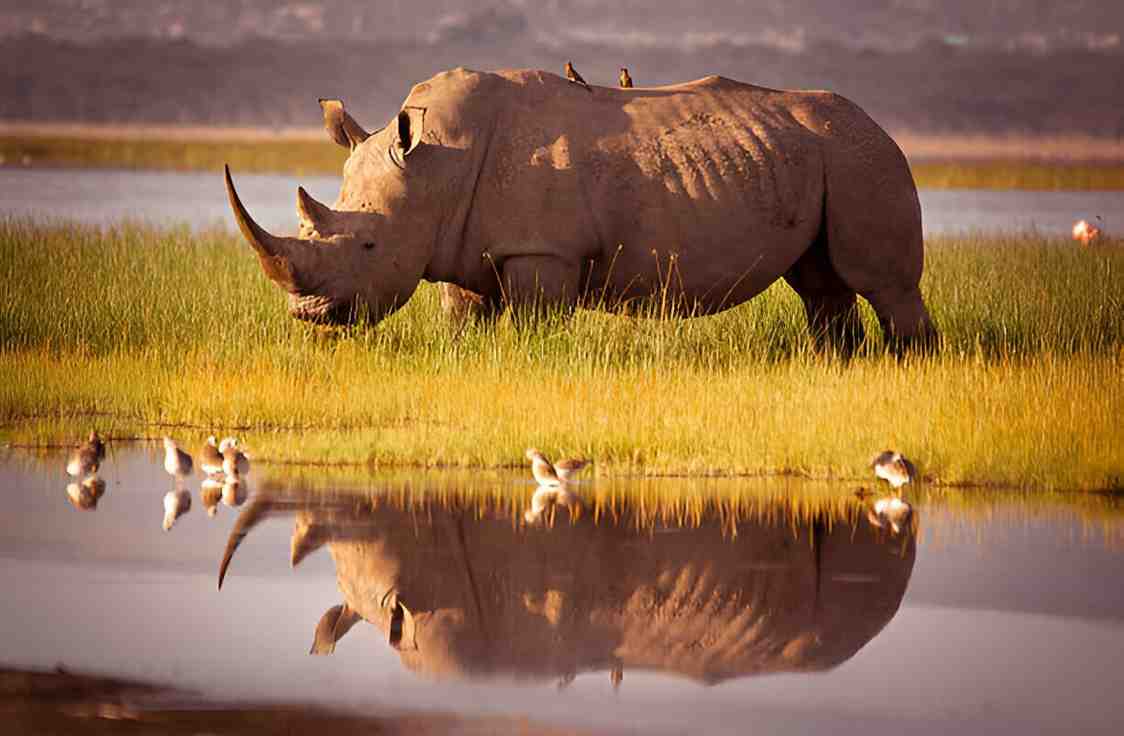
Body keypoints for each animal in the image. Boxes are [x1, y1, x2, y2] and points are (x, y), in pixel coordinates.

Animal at [225, 68, 938, 353]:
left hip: (863, 158)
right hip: (822, 157)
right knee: (821, 285)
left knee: (884, 284)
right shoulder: (460, 246)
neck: (435, 169)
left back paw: (910, 365)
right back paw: (837, 364)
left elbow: (537, 326)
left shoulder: (543, 251)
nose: (310, 317)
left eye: (369, 247)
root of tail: (882, 126)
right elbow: (464, 319)